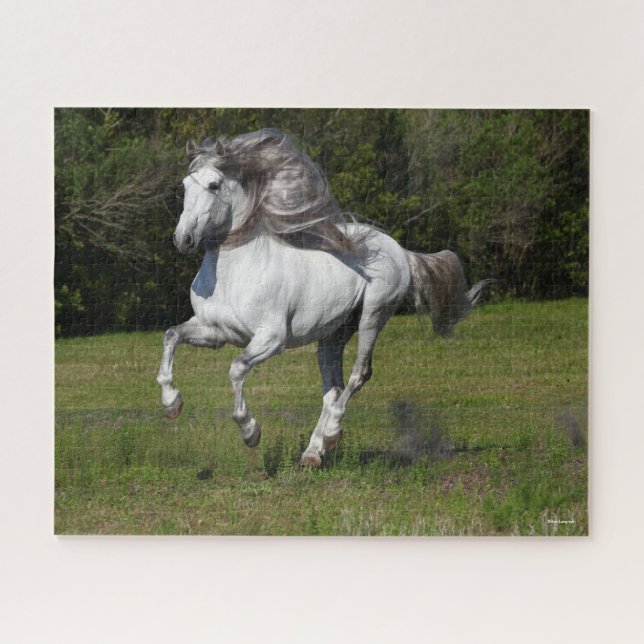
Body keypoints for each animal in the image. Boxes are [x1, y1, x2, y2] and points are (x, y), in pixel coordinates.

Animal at [156, 129, 489, 467]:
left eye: (214, 185)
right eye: (185, 185)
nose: (183, 239)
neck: (234, 274)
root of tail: (398, 249)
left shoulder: (271, 339)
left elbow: (236, 368)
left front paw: (250, 431)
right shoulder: (215, 332)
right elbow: (172, 335)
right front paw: (172, 404)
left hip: (372, 316)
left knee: (359, 375)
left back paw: (330, 434)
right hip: (333, 334)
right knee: (333, 389)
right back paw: (314, 453)